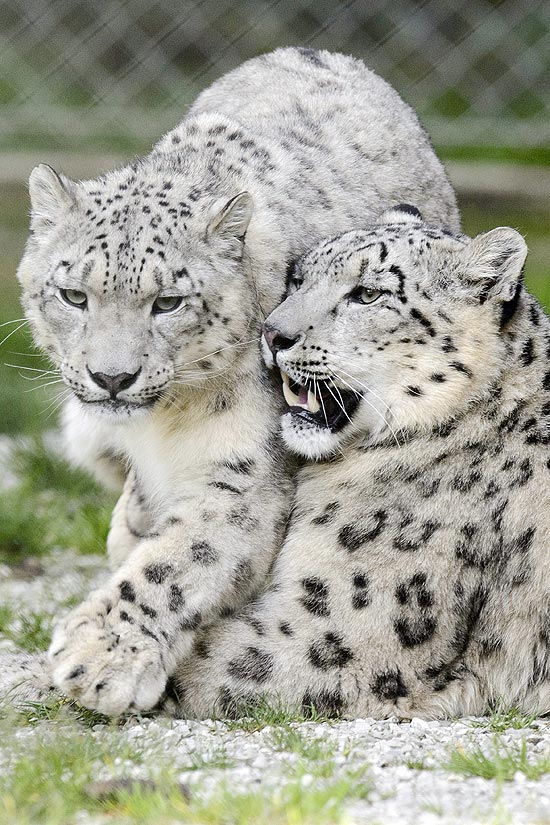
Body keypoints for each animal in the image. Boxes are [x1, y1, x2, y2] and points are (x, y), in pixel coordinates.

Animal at [15, 48, 460, 716]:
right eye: (73, 295)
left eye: (169, 302)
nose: (112, 377)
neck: (163, 426)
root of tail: (326, 54)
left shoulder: (243, 474)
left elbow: (177, 561)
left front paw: (101, 657)